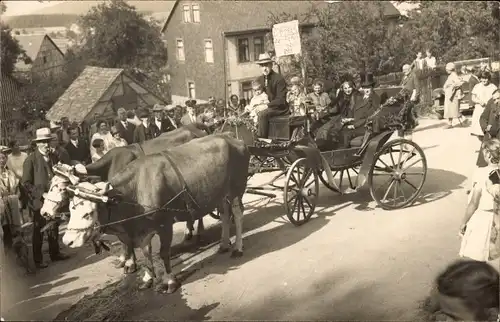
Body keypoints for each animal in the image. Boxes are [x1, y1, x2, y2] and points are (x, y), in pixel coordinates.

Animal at [41, 123, 209, 274]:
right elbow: (124, 239)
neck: (110, 167)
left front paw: (129, 263)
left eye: (61, 188)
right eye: (51, 185)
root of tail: (194, 128)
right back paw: (189, 231)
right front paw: (124, 260)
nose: (44, 212)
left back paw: (198, 233)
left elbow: (127, 240)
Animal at [51, 133, 250, 292]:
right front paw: (147, 278)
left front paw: (169, 281)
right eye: (71, 209)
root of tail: (232, 137)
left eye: (89, 213)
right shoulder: (142, 229)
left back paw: (238, 248)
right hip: (220, 194)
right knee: (225, 216)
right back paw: (223, 244)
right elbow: (146, 252)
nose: (67, 240)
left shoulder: (165, 224)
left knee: (238, 215)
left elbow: (163, 253)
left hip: (236, 189)